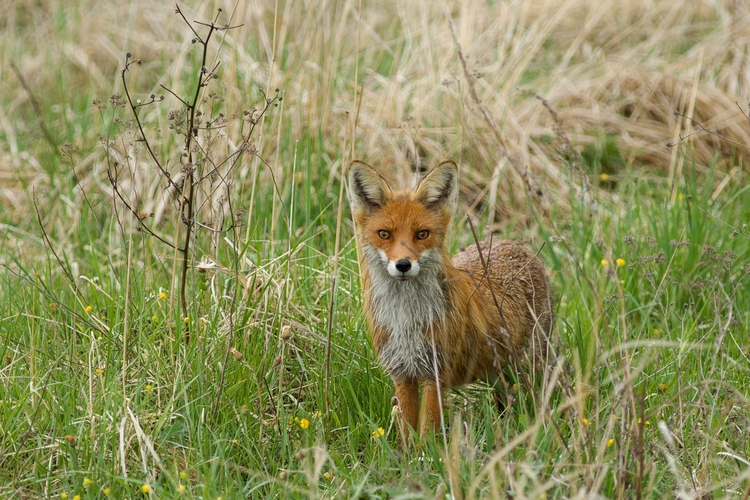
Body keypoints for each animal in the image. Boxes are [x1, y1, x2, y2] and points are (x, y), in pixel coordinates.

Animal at [350, 159, 556, 438]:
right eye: (384, 234)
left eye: (422, 234)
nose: (403, 265)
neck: (406, 321)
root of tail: (517, 246)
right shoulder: (403, 374)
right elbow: (406, 436)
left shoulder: (434, 374)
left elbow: (426, 436)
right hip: (497, 370)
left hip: (529, 365)